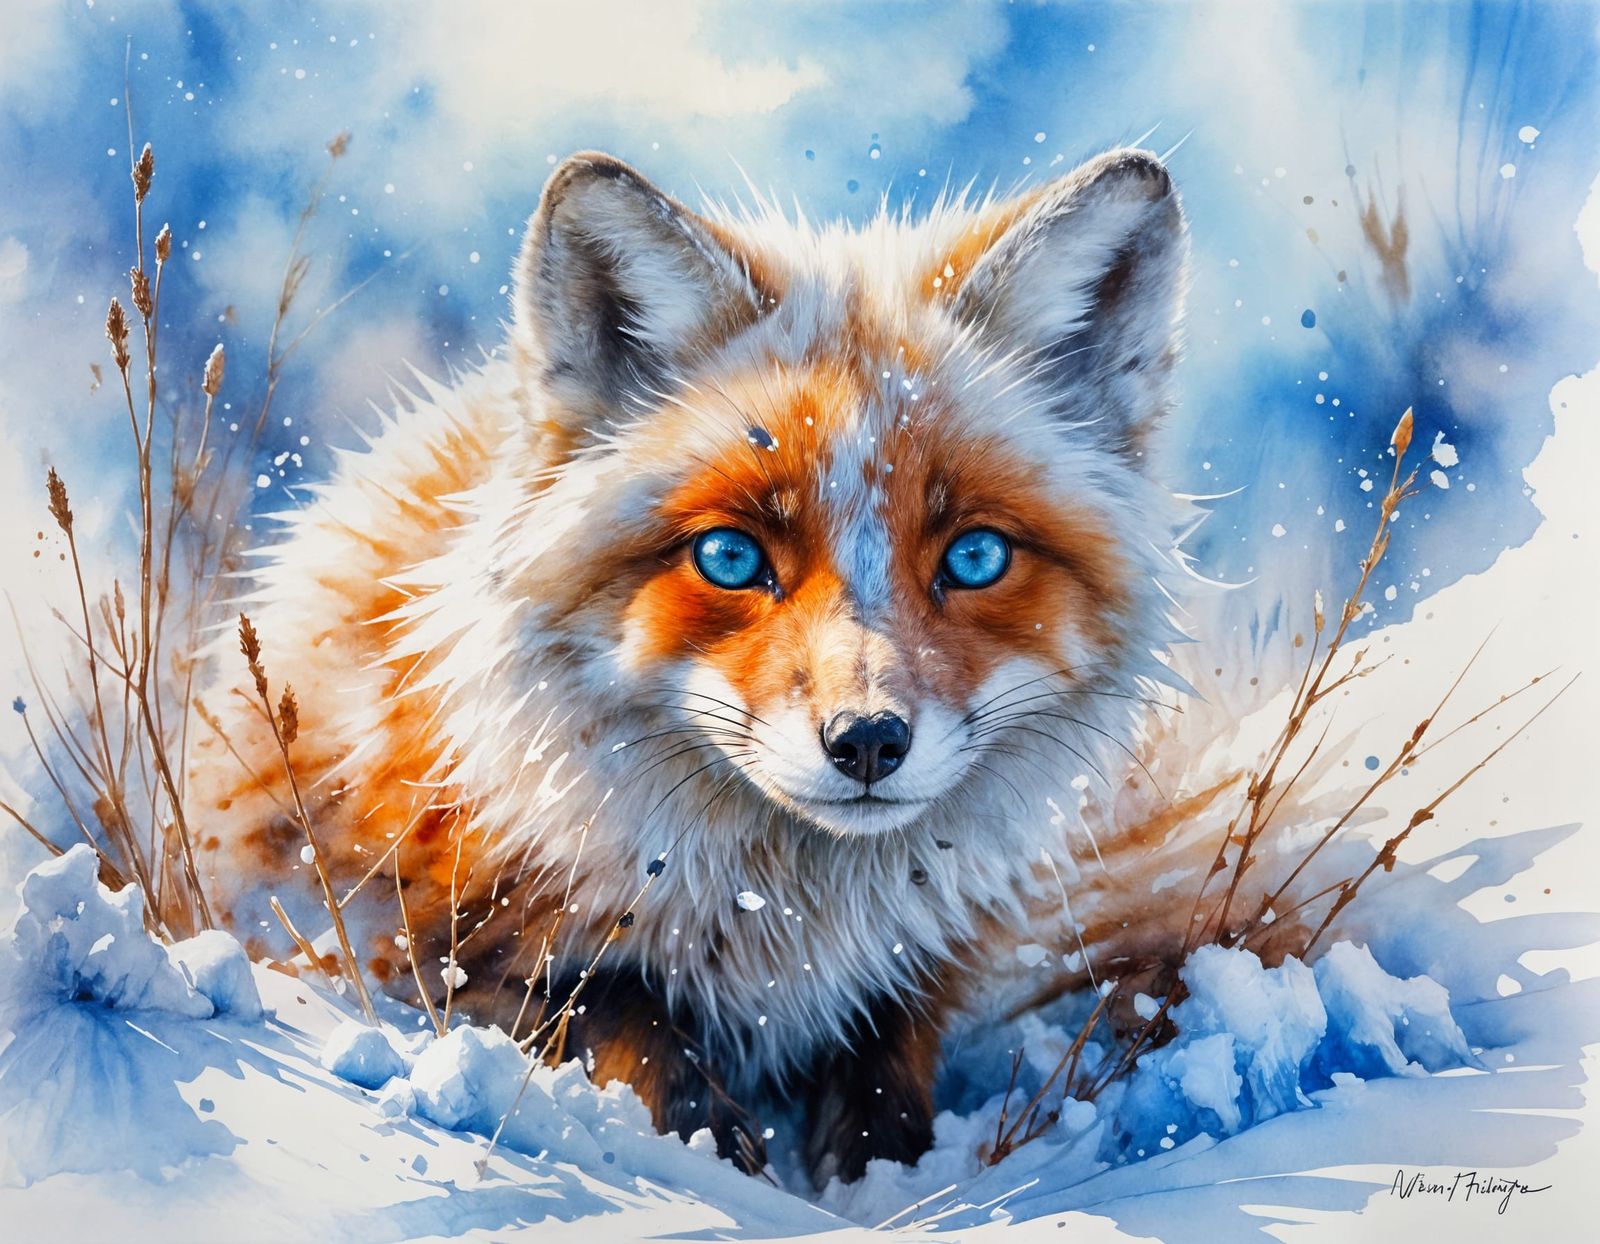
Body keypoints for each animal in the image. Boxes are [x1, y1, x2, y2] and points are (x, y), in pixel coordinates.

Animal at [186, 146, 1190, 1184]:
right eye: (731, 558)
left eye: (977, 556)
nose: (868, 741)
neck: (785, 921)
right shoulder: (423, 930)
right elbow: (625, 1027)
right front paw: (722, 1160)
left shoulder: (917, 975)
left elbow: (886, 1092)